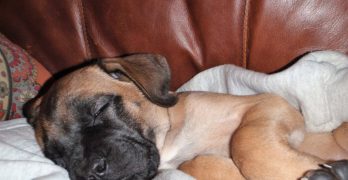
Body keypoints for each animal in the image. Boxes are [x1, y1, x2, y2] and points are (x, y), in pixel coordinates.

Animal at [24, 53, 348, 180]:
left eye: (99, 109)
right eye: (56, 157)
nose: (91, 173)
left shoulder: (269, 103)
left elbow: (246, 143)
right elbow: (199, 164)